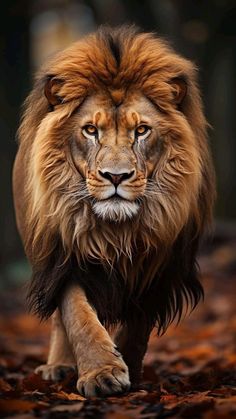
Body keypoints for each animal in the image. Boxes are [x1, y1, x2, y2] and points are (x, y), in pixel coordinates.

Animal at [12, 24, 216, 398]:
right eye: (91, 130)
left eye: (142, 130)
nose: (116, 176)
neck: (117, 231)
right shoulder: (63, 256)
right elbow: (76, 315)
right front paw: (101, 372)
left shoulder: (160, 263)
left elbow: (138, 327)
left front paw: (129, 369)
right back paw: (58, 367)